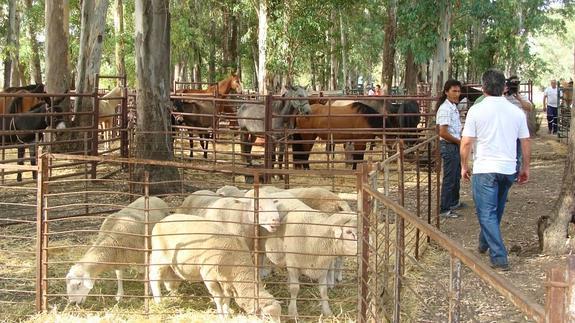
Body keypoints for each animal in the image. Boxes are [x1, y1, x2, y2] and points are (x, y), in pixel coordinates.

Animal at [150, 214, 282, 322]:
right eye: (267, 317)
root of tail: (161, 221)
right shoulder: (210, 278)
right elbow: (219, 298)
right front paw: (221, 316)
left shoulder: (228, 282)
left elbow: (227, 298)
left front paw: (227, 314)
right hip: (159, 257)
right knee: (154, 278)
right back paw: (158, 301)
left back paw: (174, 295)